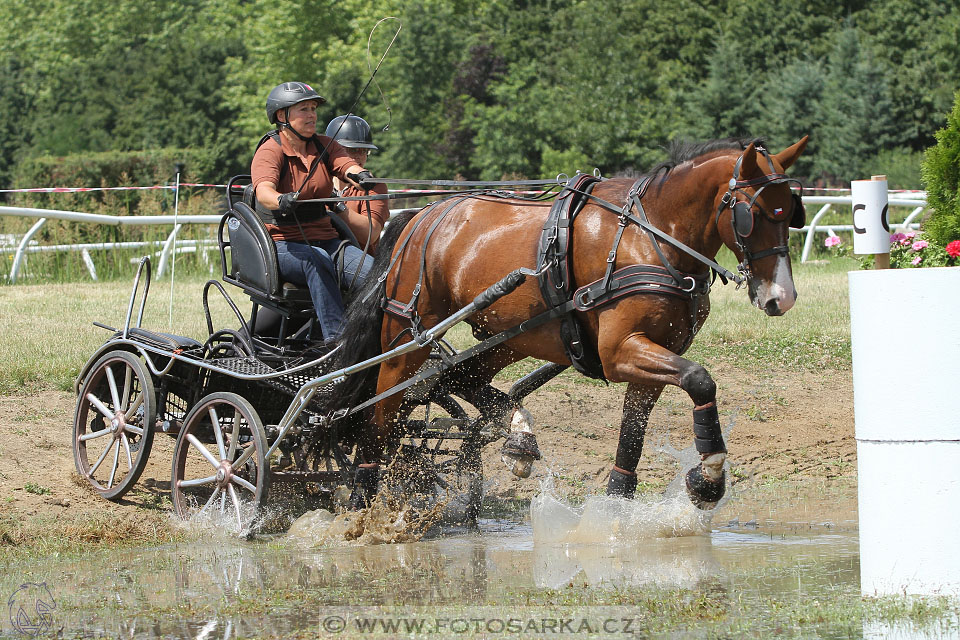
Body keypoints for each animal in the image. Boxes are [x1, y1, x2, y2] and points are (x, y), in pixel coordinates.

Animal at [334, 136, 808, 510]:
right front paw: (708, 475)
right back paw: (360, 494)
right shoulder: (620, 351)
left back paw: (518, 436)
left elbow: (631, 438)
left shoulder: (654, 355)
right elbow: (700, 379)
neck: (651, 235)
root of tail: (422, 215)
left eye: (790, 213)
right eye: (753, 214)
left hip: (513, 335)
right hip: (408, 336)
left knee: (456, 379)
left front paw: (618, 505)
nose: (781, 297)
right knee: (379, 416)